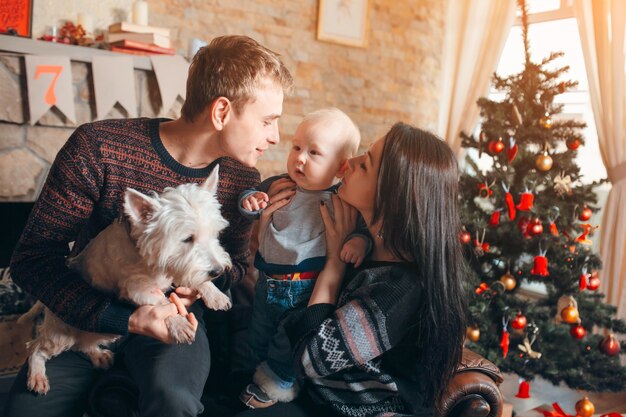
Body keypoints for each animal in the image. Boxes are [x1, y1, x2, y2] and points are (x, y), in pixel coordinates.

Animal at [21, 164, 234, 392]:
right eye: (187, 239)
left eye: (215, 233)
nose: (218, 271)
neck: (143, 251)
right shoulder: (135, 288)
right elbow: (163, 302)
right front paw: (178, 323)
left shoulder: (175, 268)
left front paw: (214, 293)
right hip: (60, 334)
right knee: (35, 348)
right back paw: (37, 377)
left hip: (96, 333)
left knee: (84, 343)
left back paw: (99, 355)